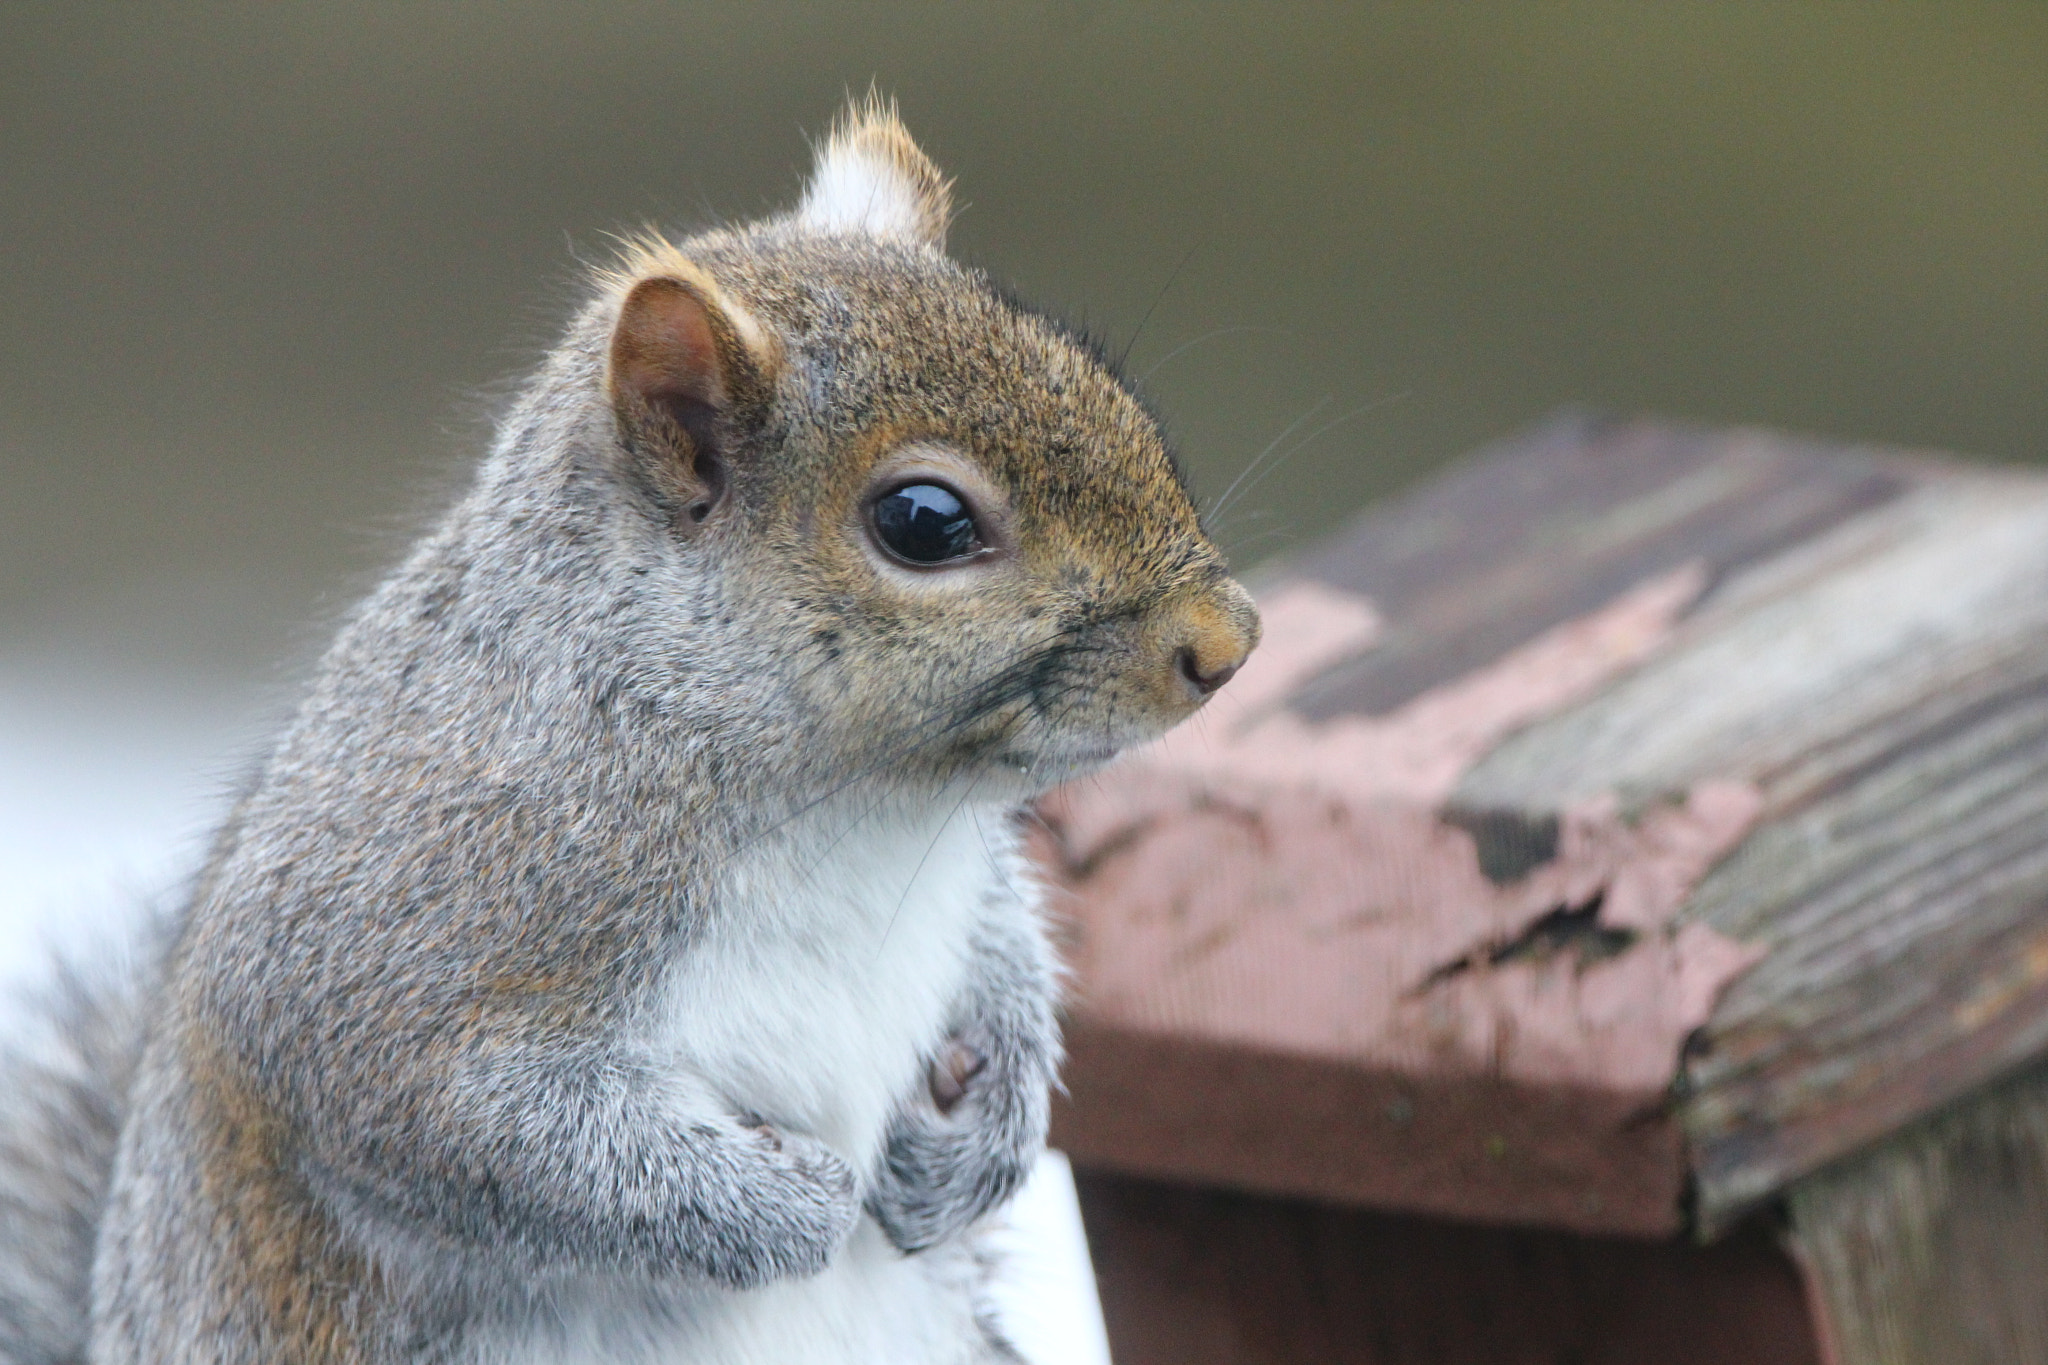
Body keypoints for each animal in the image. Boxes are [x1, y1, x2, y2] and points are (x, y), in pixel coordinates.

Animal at [0, 96, 1259, 1365]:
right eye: (923, 521)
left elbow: (1001, 936)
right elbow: (469, 1125)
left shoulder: (958, 874)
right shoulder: (400, 926)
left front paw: (992, 1118)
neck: (866, 805)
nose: (1227, 643)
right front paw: (784, 1204)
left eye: (1106, 383)